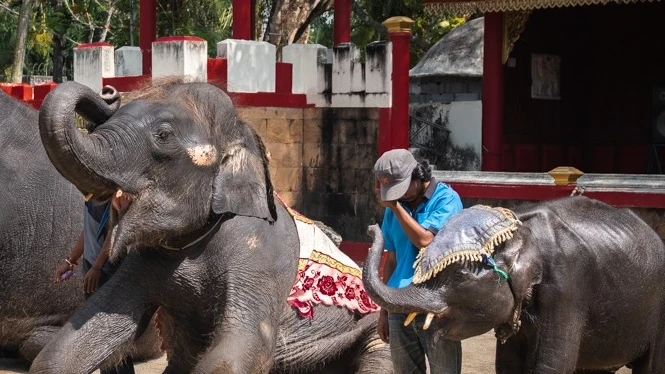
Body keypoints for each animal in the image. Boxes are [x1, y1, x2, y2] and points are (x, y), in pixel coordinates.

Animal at [31, 80, 392, 372]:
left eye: (163, 135)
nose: (108, 91)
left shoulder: (261, 257)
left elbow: (241, 350)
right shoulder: (144, 261)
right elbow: (76, 339)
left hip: (373, 326)